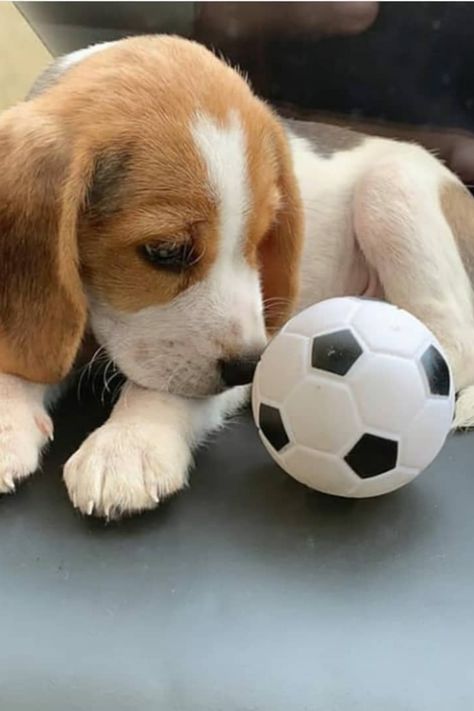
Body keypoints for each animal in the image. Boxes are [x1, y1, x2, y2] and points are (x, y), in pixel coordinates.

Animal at [0, 36, 472, 516]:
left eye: (263, 238)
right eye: (165, 252)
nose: (250, 367)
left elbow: (172, 388)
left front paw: (129, 444)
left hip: (391, 187)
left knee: (453, 344)